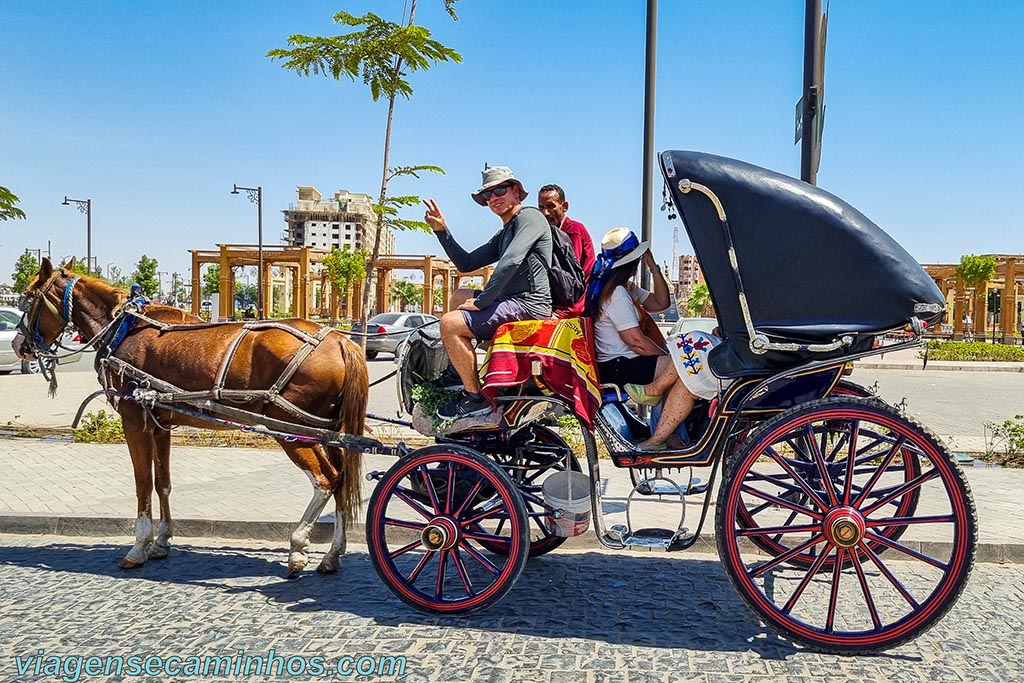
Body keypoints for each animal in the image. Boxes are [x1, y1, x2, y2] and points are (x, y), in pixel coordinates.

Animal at [12, 259, 368, 573]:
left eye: (28, 299)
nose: (19, 345)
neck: (123, 328)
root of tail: (340, 340)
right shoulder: (160, 425)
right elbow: (162, 483)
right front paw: (162, 542)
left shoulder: (134, 420)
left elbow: (142, 484)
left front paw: (139, 546)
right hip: (329, 431)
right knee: (341, 480)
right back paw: (332, 555)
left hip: (292, 429)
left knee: (325, 480)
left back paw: (298, 545)